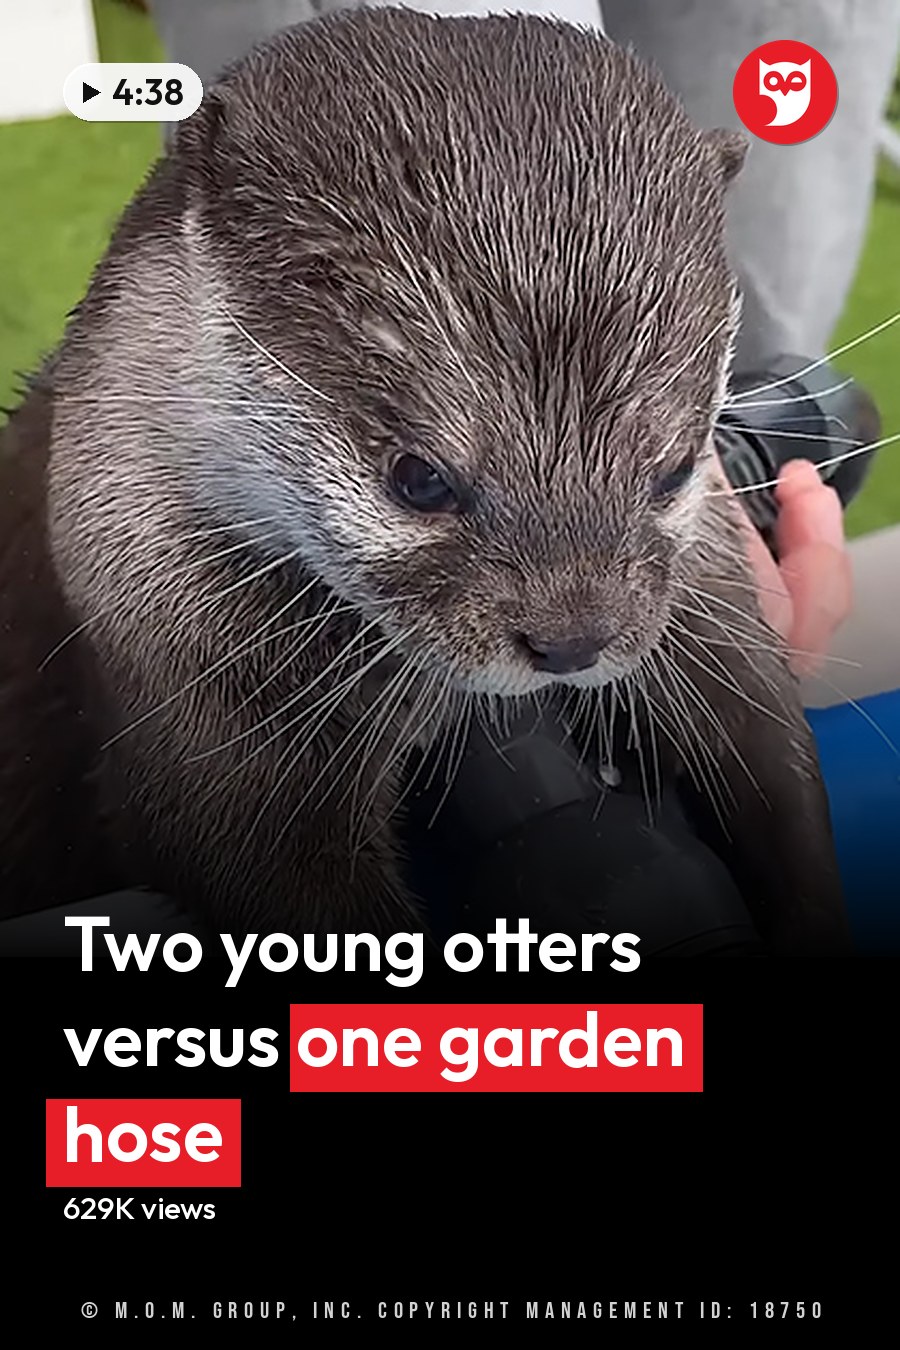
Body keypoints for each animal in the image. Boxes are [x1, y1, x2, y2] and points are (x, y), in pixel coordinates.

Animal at [0, 9, 846, 951]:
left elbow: (773, 754)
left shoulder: (708, 594)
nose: (572, 641)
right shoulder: (185, 672)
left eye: (675, 465)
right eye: (419, 479)